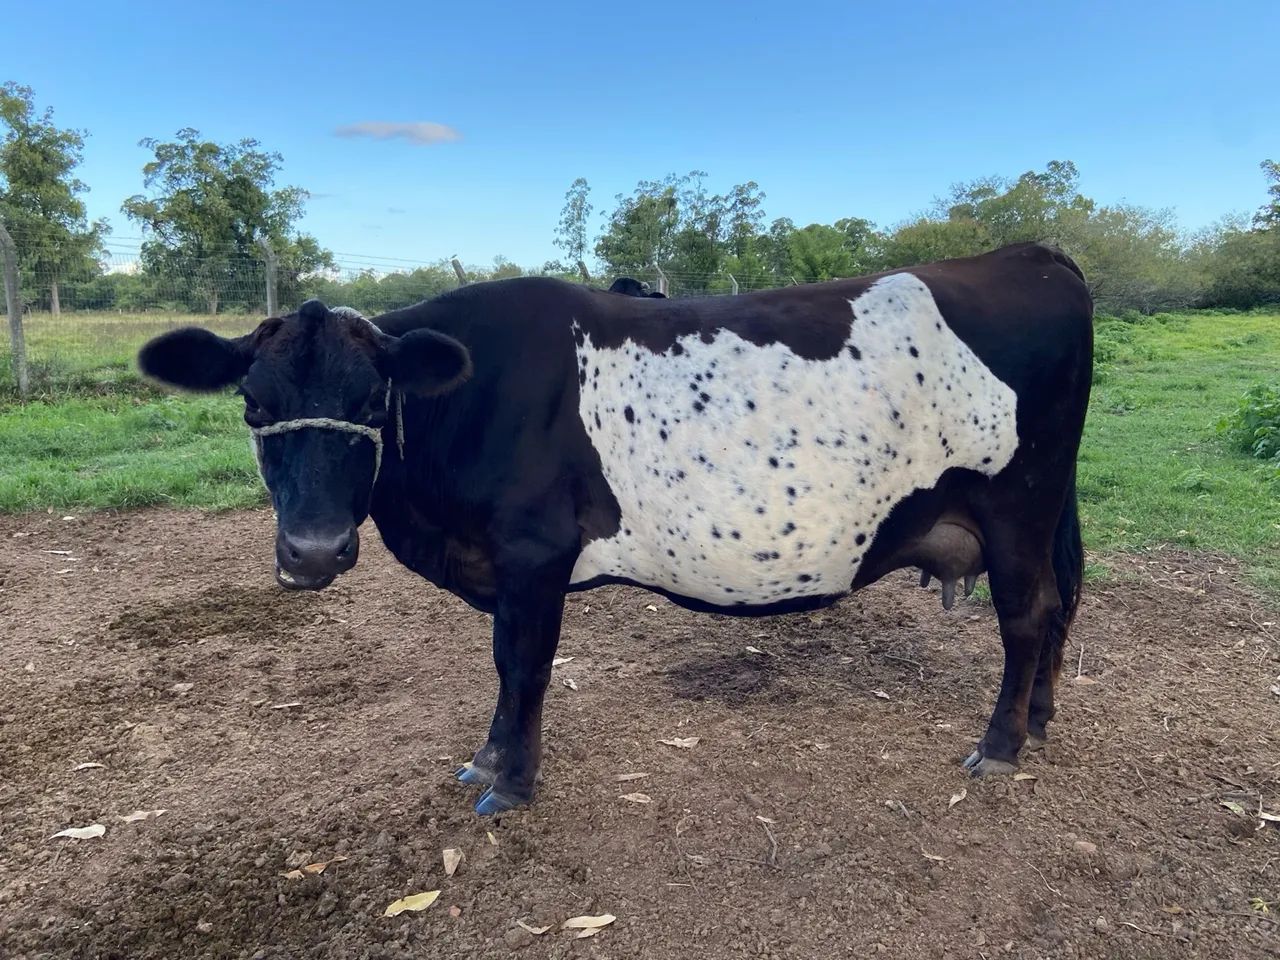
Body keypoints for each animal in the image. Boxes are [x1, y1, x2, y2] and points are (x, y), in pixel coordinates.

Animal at [137, 242, 1093, 816]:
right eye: (253, 404)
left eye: (374, 401)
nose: (312, 552)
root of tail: (1028, 254)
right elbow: (501, 667)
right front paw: (486, 759)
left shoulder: (533, 553)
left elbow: (522, 666)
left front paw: (512, 784)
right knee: (1060, 607)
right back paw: (1041, 722)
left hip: (1017, 503)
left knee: (1029, 615)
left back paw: (1001, 745)